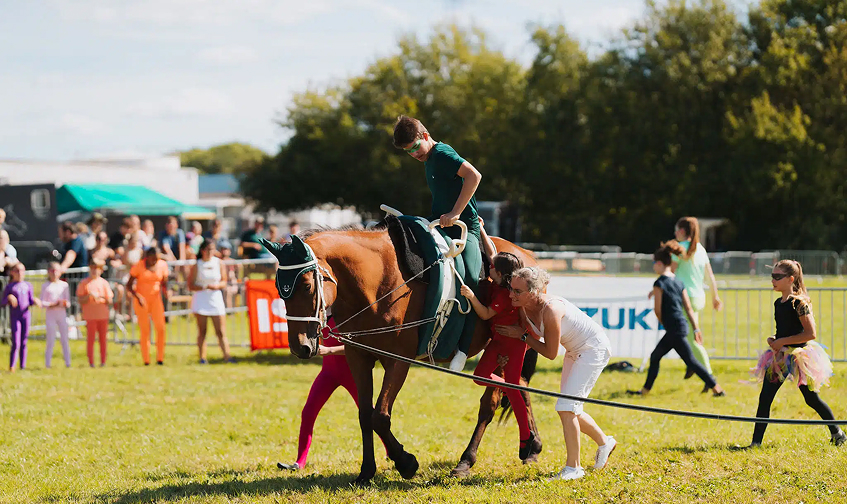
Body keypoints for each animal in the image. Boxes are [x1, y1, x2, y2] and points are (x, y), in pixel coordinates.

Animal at [274, 226, 541, 485]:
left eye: (307, 286)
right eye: (279, 290)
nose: (299, 347)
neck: (377, 283)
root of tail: (527, 255)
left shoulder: (398, 361)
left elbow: (380, 416)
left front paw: (406, 463)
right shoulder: (358, 357)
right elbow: (365, 415)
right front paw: (366, 472)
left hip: (502, 345)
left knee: (492, 402)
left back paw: (466, 461)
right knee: (519, 386)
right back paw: (531, 446)